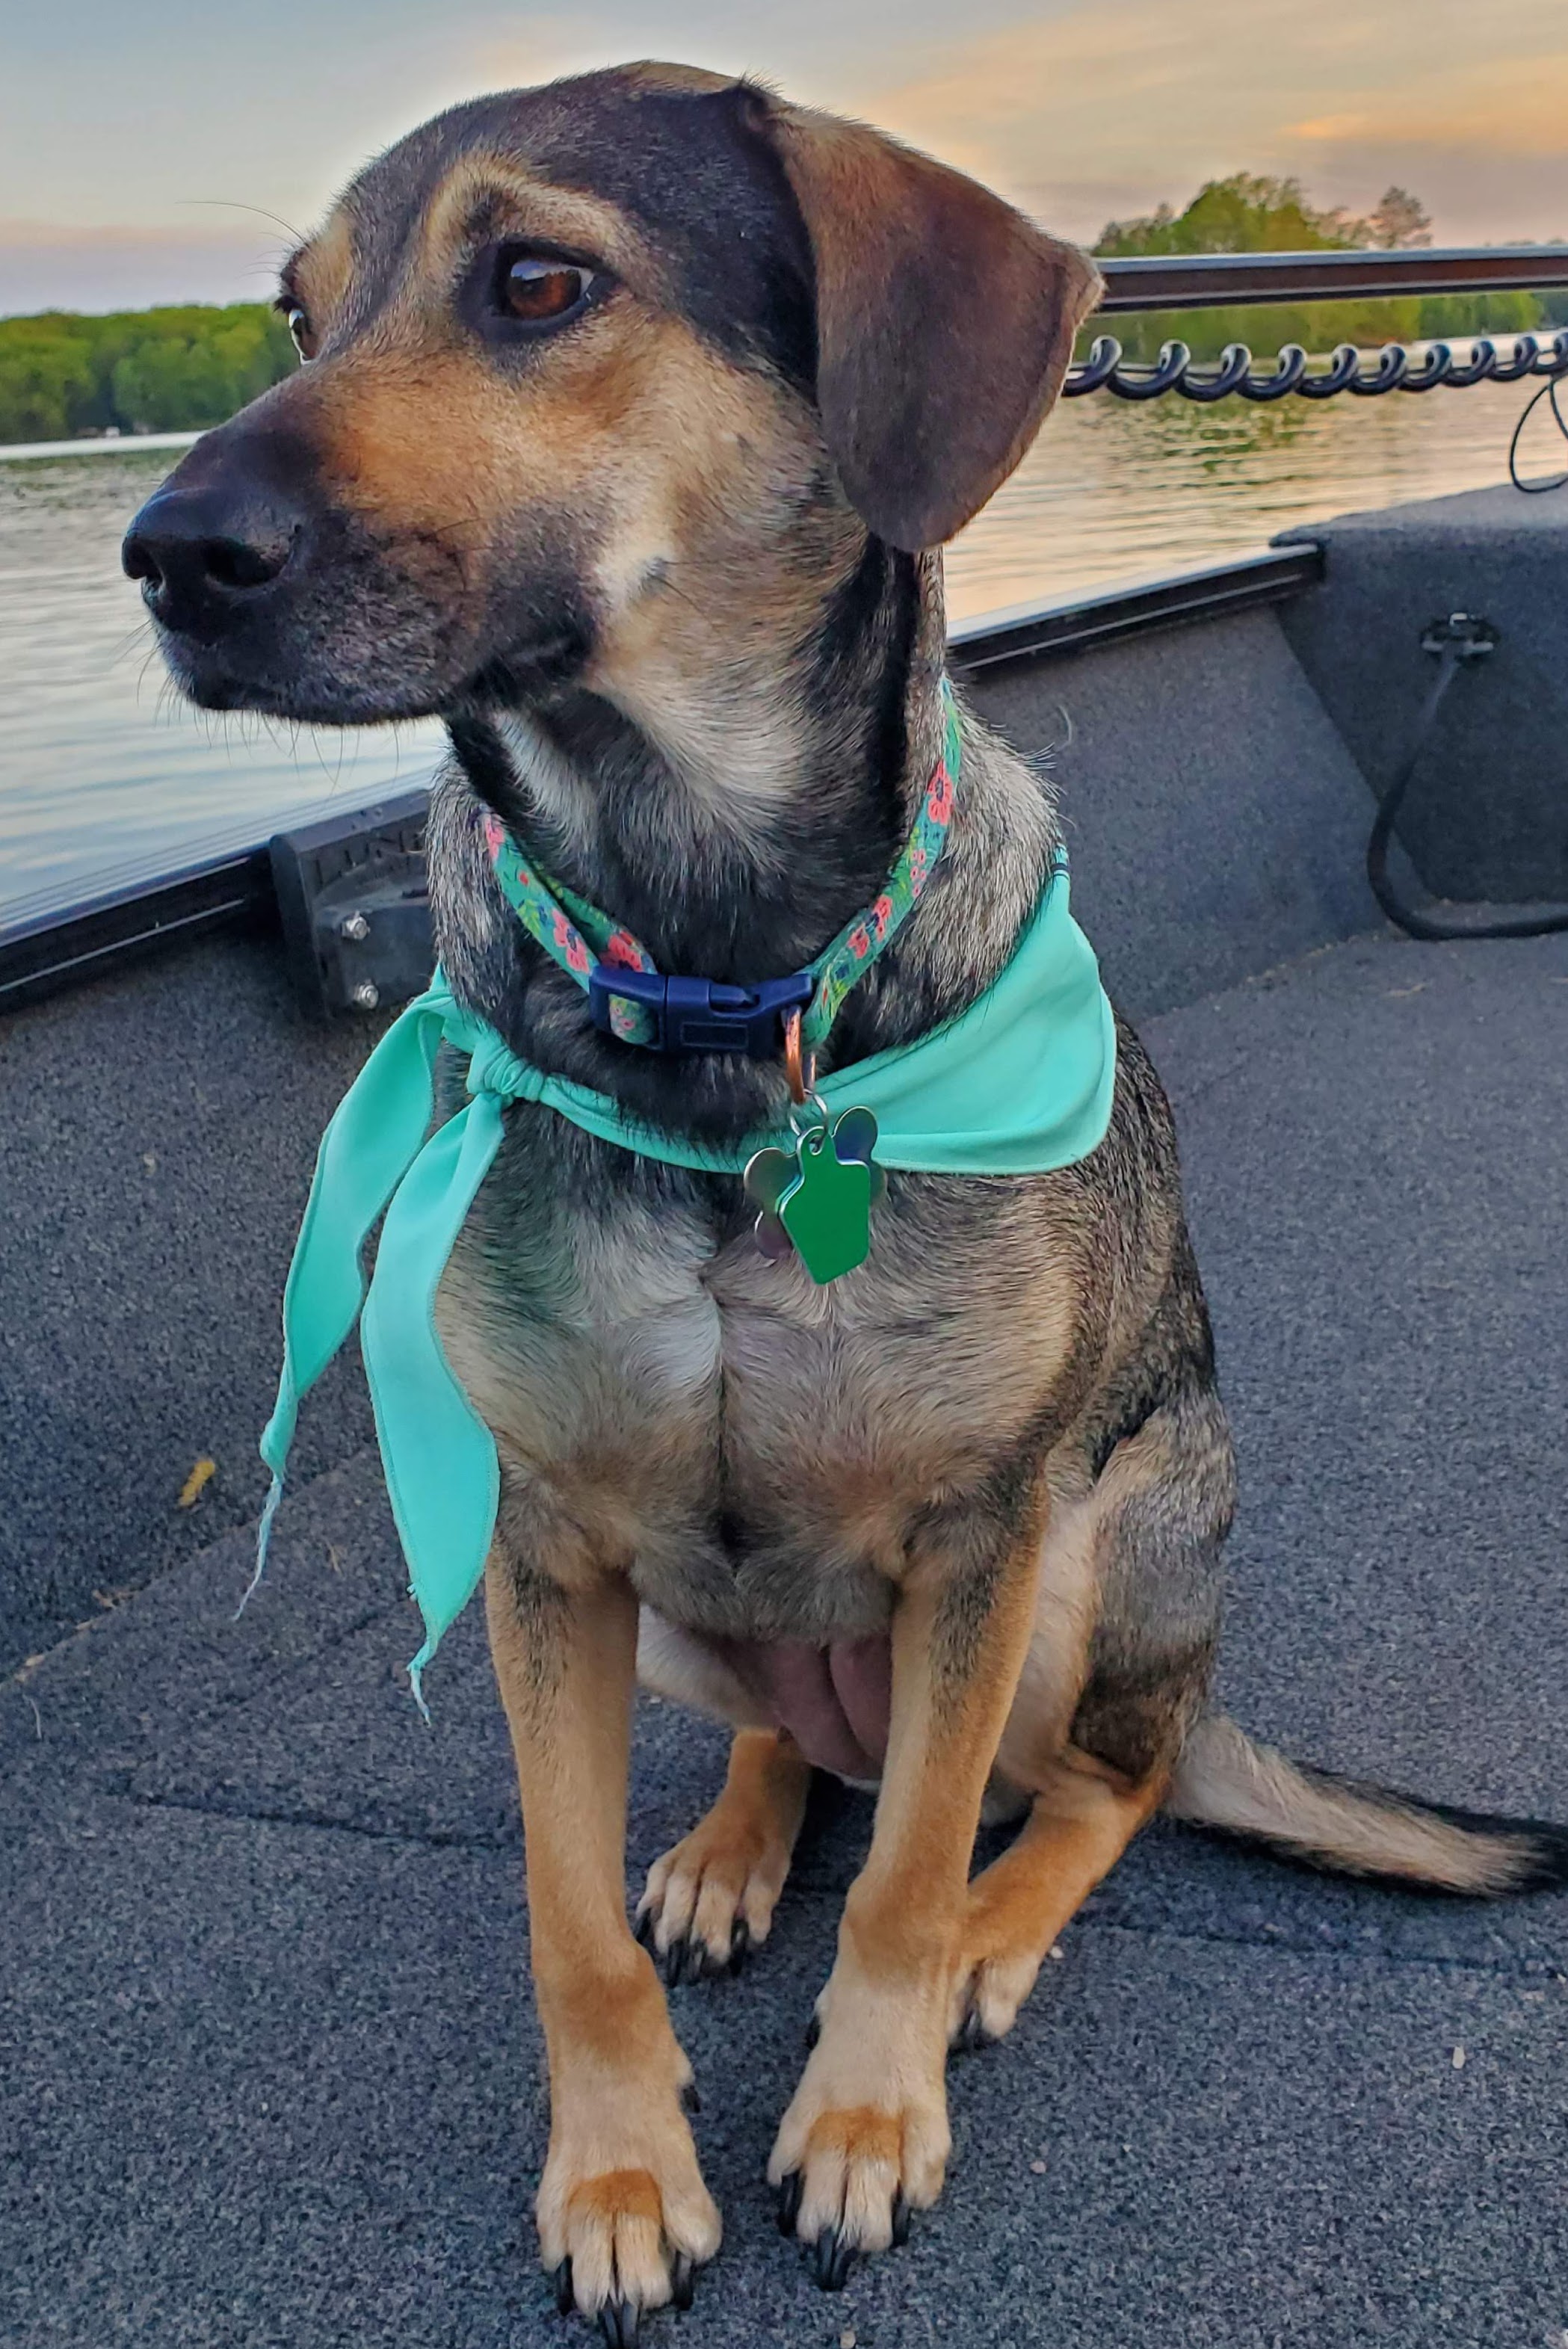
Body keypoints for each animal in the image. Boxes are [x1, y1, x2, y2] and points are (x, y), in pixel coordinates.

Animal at [126, 64, 1568, 2339]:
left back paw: (999, 1918)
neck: (712, 986)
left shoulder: (982, 1525)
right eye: (294, 313)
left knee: (1080, 1782)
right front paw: (621, 2166)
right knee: (800, 1748)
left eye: (537, 283)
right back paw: (730, 1837)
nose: (165, 557)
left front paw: (869, 2112)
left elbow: (892, 1886)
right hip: (687, 1612)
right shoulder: (542, 1544)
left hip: (1091, 1564)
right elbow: (559, 1914)